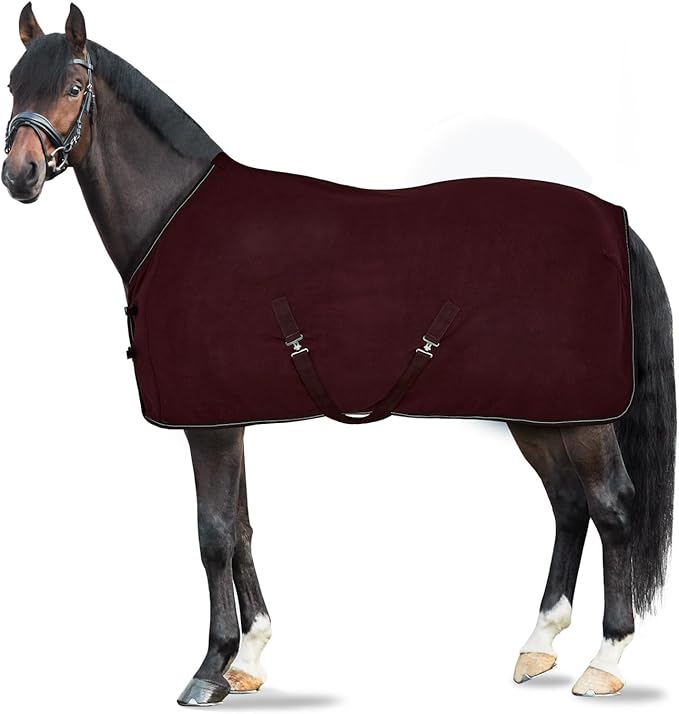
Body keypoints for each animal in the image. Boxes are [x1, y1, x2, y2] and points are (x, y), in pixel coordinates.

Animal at [2, 3, 675, 705]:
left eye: (73, 88)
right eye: (14, 86)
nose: (19, 175)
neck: (174, 217)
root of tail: (617, 224)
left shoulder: (208, 427)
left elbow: (213, 534)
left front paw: (210, 668)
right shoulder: (229, 417)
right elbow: (242, 527)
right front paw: (250, 658)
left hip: (585, 418)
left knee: (613, 508)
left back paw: (606, 660)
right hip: (538, 413)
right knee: (569, 506)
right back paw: (539, 644)